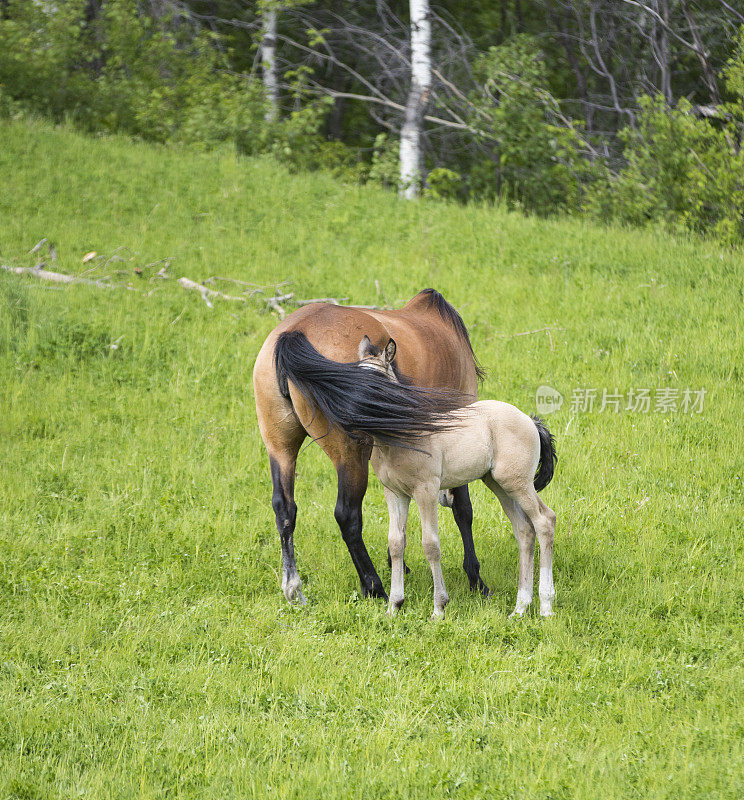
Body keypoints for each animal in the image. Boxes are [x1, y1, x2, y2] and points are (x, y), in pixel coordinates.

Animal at [253, 290, 488, 604]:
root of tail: (293, 332)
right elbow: (463, 510)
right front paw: (475, 578)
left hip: (281, 449)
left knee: (284, 509)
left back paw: (294, 588)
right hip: (349, 456)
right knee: (347, 515)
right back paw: (374, 586)